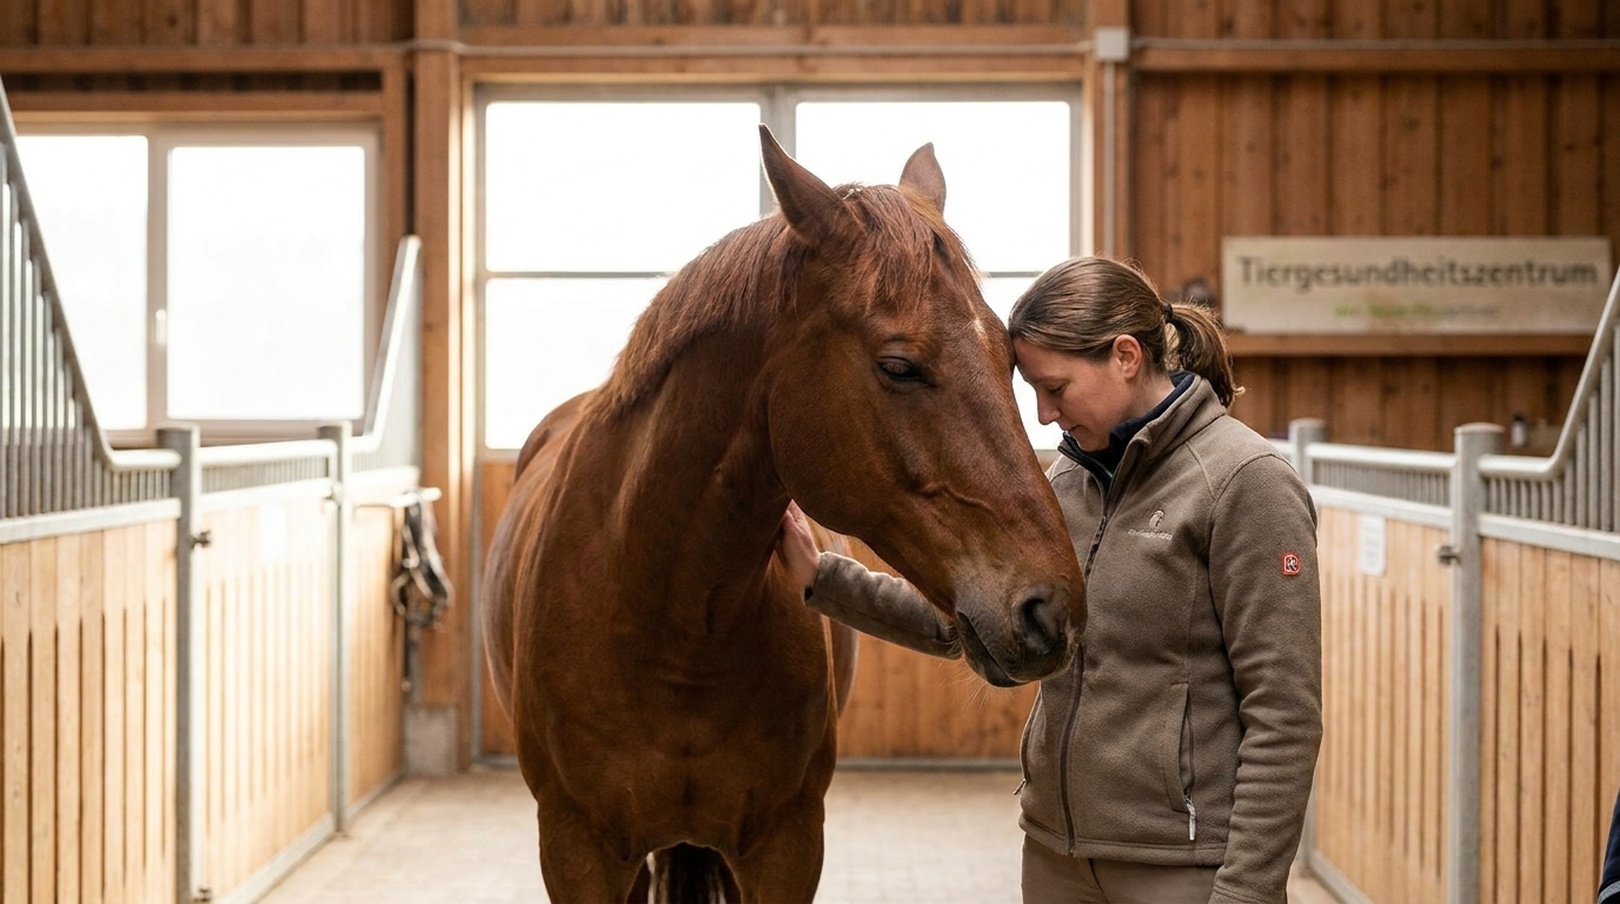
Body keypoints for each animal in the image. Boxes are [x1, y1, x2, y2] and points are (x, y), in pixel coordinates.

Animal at [481, 126, 1085, 903]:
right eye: (898, 366)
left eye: (1008, 357)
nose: (1050, 609)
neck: (672, 621)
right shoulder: (575, 848)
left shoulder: (787, 845)